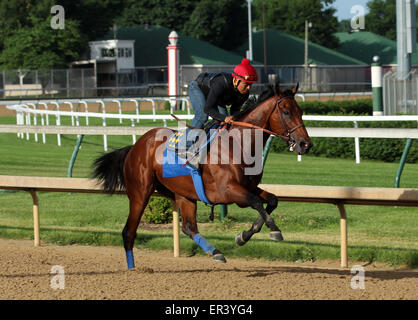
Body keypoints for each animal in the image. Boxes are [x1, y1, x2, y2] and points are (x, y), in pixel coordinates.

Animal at [93, 82, 312, 268]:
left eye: (301, 111)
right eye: (286, 111)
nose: (305, 144)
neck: (237, 144)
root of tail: (135, 146)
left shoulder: (248, 187)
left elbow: (272, 200)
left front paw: (243, 236)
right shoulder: (227, 191)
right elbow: (257, 202)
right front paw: (274, 230)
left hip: (183, 195)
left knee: (189, 228)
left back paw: (216, 252)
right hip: (140, 193)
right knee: (128, 232)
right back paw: (133, 269)